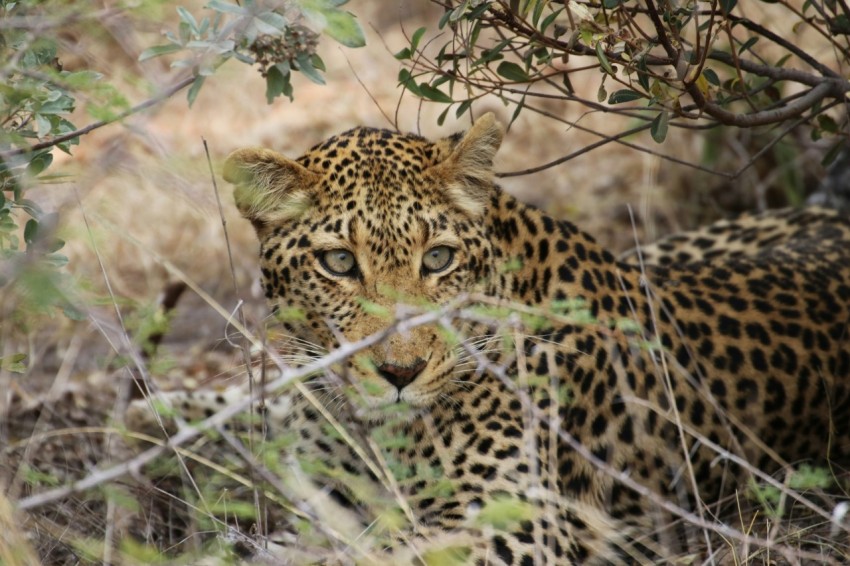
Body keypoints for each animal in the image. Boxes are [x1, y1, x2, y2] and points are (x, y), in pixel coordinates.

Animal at [128, 113, 850, 564]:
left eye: (439, 259)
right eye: (338, 263)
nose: (400, 373)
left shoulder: (523, 523)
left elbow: (383, 553)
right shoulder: (329, 489)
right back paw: (145, 422)